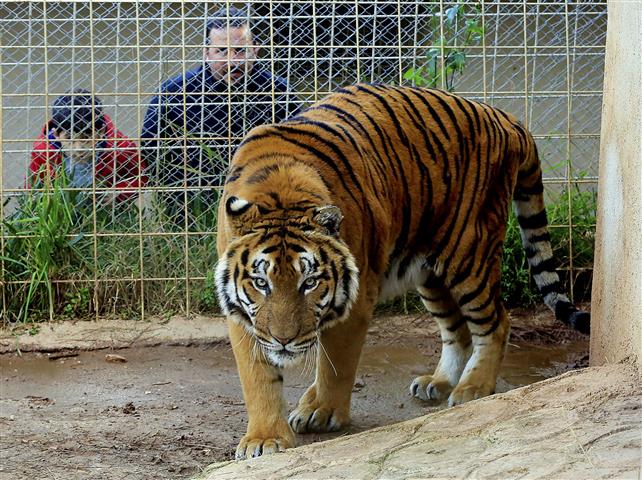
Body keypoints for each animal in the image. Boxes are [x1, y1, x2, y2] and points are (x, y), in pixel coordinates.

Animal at [214, 84, 584, 460]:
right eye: (261, 283)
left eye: (310, 283)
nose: (284, 341)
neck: (279, 190)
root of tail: (506, 118)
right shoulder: (242, 314)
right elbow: (258, 378)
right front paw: (264, 439)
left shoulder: (357, 298)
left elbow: (336, 364)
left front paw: (322, 411)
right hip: (429, 272)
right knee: (457, 330)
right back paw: (439, 382)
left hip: (469, 253)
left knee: (496, 323)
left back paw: (473, 388)